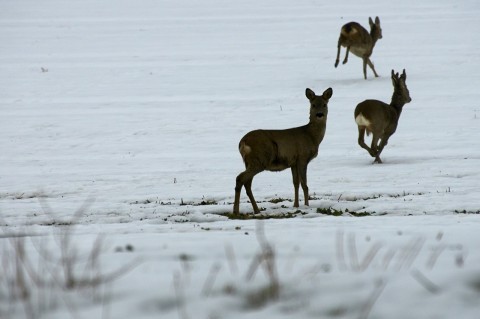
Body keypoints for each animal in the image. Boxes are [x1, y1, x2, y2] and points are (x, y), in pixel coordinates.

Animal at [233, 87, 334, 215]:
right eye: (313, 105)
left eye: (325, 104)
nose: (319, 114)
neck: (311, 136)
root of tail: (243, 142)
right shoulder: (302, 157)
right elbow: (304, 184)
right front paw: (306, 205)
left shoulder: (293, 162)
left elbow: (296, 183)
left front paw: (296, 205)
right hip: (260, 159)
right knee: (240, 178)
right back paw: (236, 211)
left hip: (249, 162)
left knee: (247, 183)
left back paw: (256, 210)